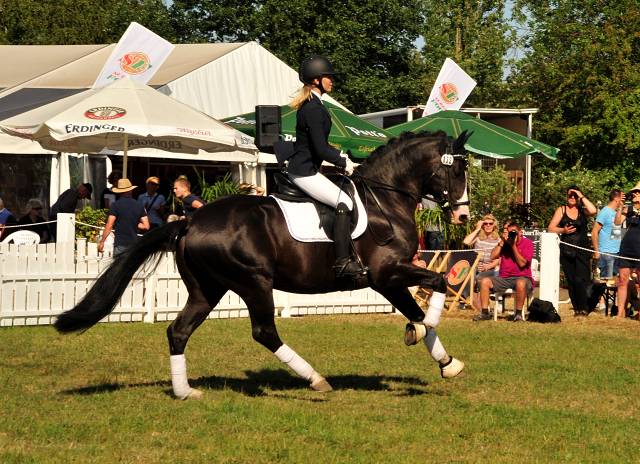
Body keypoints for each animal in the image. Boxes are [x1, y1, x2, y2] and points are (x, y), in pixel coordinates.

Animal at [55, 130, 472, 398]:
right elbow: (437, 286)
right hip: (253, 281)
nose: (464, 217)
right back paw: (316, 380)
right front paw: (423, 331)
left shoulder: (386, 279)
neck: (384, 200)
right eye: (457, 171)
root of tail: (192, 220)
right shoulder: (387, 273)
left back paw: (186, 392)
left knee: (178, 331)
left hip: (207, 289)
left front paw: (447, 362)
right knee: (264, 332)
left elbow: (418, 306)